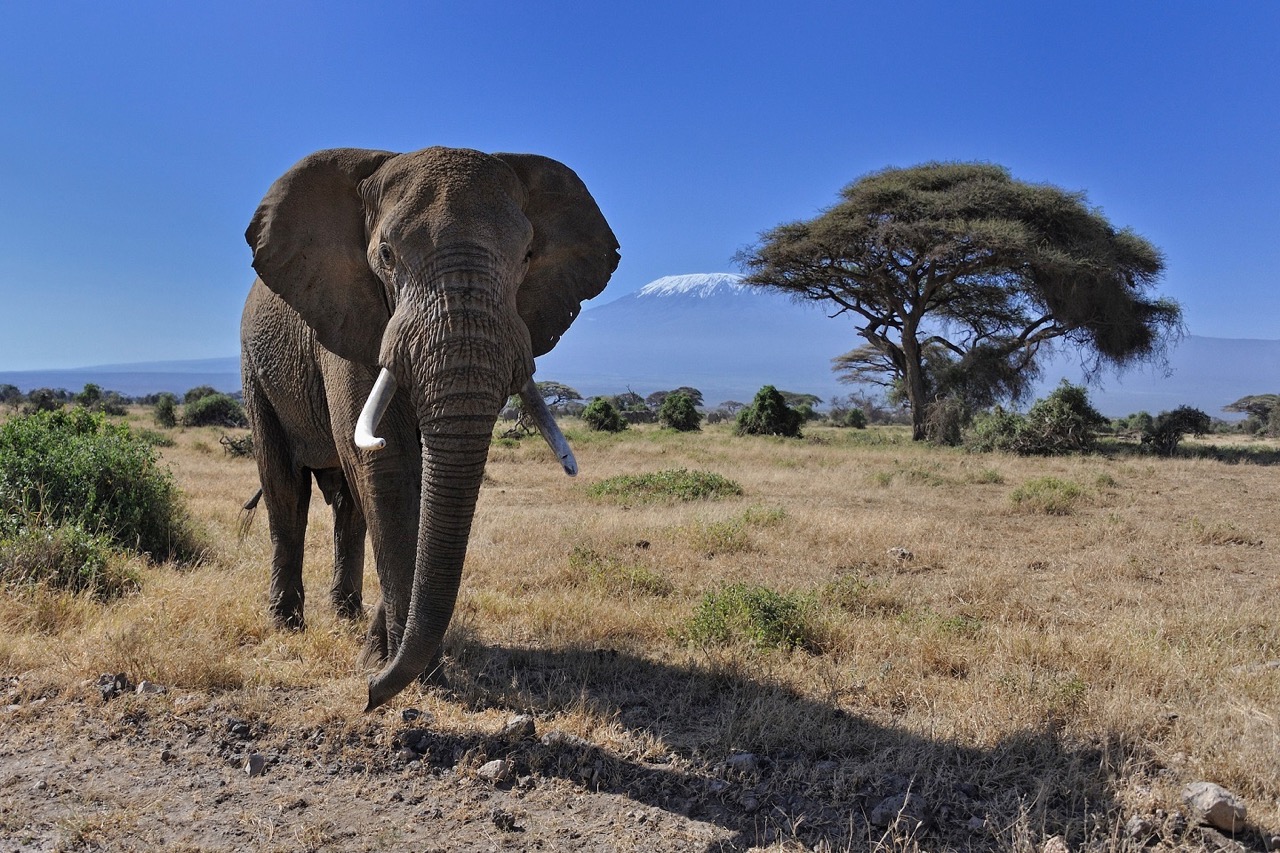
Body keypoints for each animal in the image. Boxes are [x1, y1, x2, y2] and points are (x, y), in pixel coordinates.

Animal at [240, 147, 619, 710]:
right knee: (285, 487)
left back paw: (346, 616)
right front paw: (412, 673)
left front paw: (385, 655)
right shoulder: (350, 311)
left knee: (348, 504)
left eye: (528, 256)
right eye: (387, 255)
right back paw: (286, 626)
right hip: (255, 367)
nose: (368, 695)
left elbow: (416, 480)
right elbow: (388, 461)